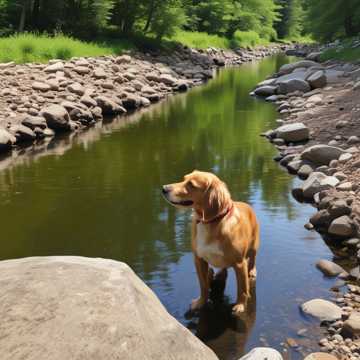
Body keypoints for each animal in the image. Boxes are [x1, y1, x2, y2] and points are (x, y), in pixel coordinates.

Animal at [162, 172, 258, 316]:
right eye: (184, 179)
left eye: (191, 184)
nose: (164, 188)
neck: (210, 222)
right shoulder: (199, 260)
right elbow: (203, 286)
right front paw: (200, 303)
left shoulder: (239, 264)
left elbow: (242, 289)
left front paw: (240, 306)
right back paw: (213, 274)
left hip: (254, 246)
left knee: (252, 260)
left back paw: (251, 271)